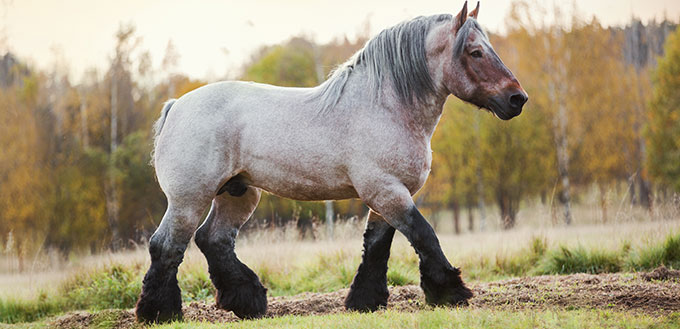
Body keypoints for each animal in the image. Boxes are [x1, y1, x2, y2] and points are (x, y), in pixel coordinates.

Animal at [134, 1, 524, 322]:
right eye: (475, 52)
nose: (517, 99)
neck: (385, 106)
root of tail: (176, 107)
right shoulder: (387, 191)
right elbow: (424, 234)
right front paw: (450, 292)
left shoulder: (385, 197)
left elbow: (377, 247)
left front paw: (364, 301)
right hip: (189, 200)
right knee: (167, 245)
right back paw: (160, 312)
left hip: (238, 193)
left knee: (213, 240)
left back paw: (248, 301)